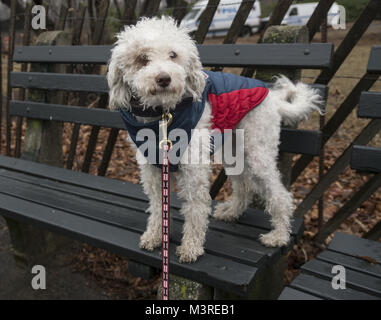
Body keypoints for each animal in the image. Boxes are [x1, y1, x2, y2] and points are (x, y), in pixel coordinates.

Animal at [107, 16, 320, 264]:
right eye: (142, 58)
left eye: (173, 55)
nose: (164, 79)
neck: (162, 115)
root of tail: (273, 97)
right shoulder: (152, 168)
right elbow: (158, 205)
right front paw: (155, 236)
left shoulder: (194, 168)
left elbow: (196, 208)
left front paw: (191, 247)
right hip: (233, 152)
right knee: (244, 185)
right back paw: (232, 212)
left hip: (257, 152)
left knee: (280, 195)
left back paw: (278, 235)